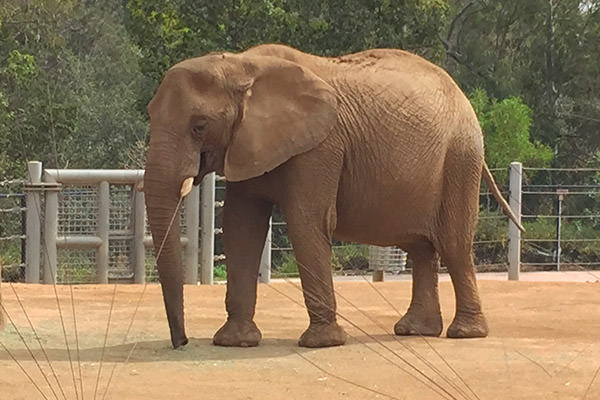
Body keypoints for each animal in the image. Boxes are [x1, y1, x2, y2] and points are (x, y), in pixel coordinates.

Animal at [143, 44, 524, 350]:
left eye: (199, 126)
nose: (182, 342)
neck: (242, 64)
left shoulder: (321, 146)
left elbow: (306, 222)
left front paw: (321, 343)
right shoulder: (247, 145)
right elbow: (241, 228)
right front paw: (234, 343)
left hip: (460, 156)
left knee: (454, 244)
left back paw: (465, 334)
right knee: (420, 247)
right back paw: (415, 331)